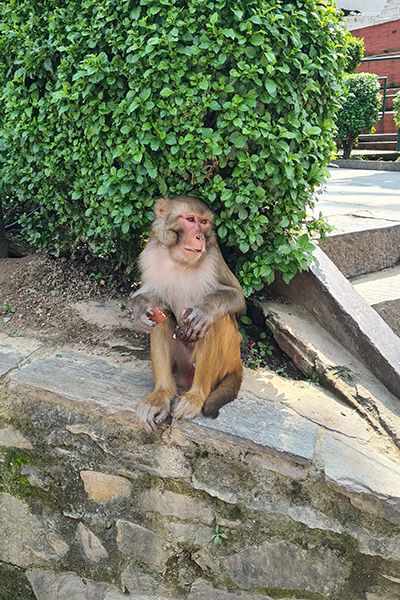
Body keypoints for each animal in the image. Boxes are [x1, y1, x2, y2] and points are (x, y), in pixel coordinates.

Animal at [130, 195, 245, 434]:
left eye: (204, 222)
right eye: (190, 220)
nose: (200, 236)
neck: (179, 260)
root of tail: (237, 361)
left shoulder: (214, 256)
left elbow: (236, 295)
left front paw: (205, 310)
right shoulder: (149, 254)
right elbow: (151, 296)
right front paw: (139, 311)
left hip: (222, 362)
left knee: (216, 322)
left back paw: (195, 396)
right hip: (180, 365)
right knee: (162, 317)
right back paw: (162, 395)